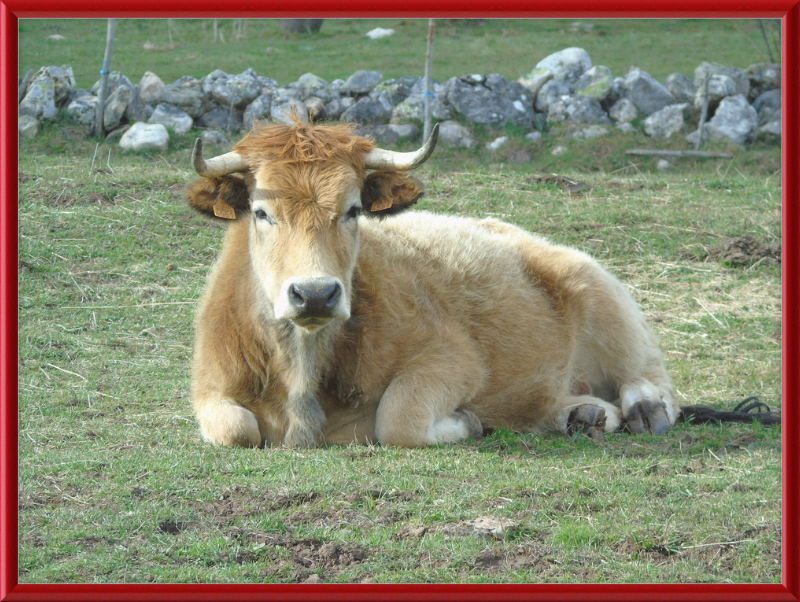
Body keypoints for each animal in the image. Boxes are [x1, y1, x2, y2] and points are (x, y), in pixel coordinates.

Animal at [188, 117, 680, 448]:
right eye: (261, 211)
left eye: (353, 209)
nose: (314, 294)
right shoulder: (210, 388)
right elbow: (235, 429)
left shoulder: (454, 361)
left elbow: (398, 418)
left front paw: (467, 422)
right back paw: (582, 415)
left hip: (601, 294)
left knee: (651, 378)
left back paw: (644, 409)